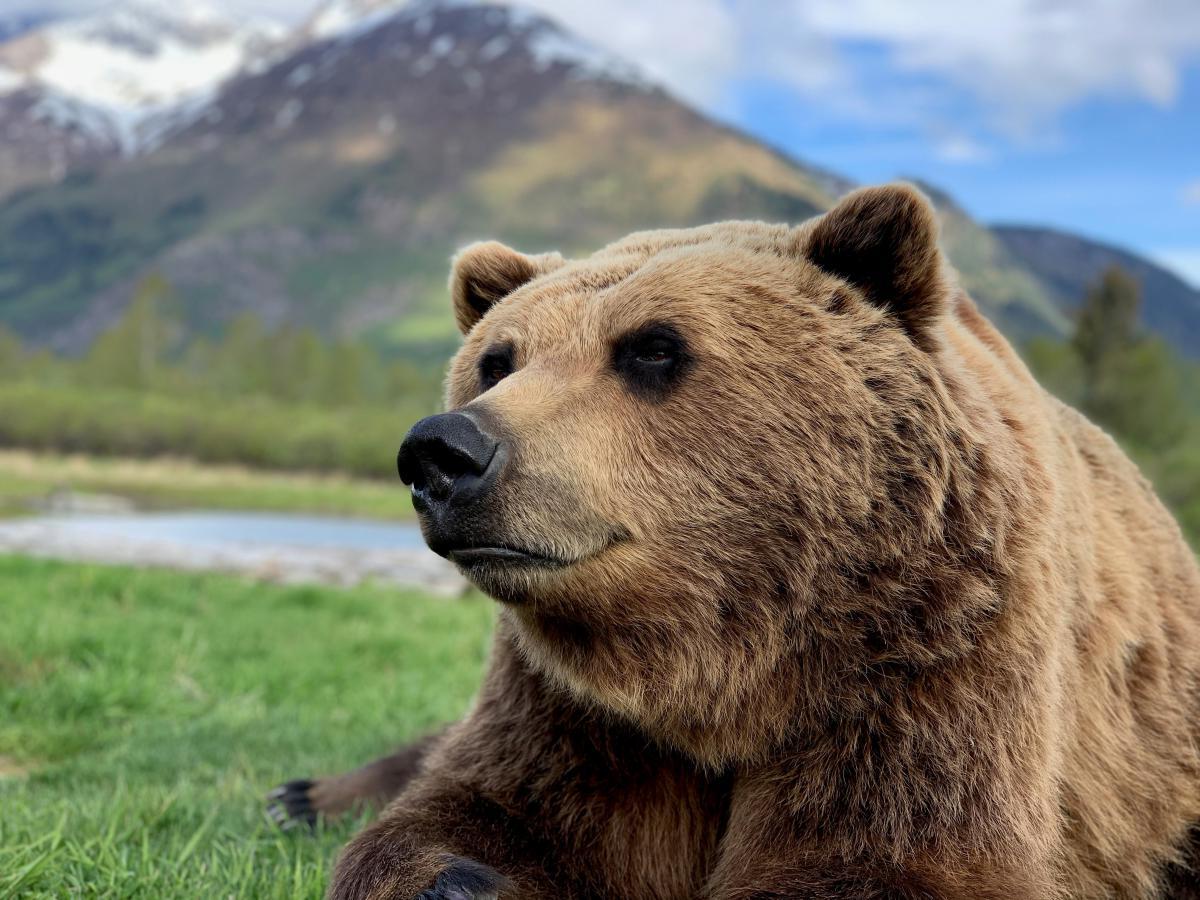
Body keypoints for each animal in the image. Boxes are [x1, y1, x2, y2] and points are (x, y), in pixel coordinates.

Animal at [271, 184, 1200, 899]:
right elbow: (484, 813)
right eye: (496, 360)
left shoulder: (932, 657)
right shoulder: (576, 706)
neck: (726, 660)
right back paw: (305, 794)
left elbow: (885, 857)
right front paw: (460, 876)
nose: (445, 451)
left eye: (653, 349)